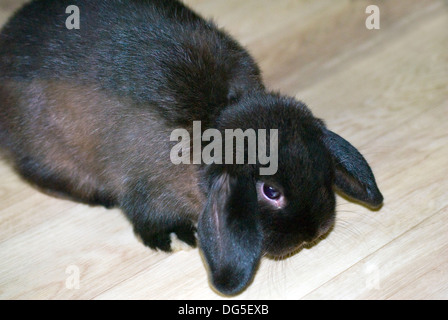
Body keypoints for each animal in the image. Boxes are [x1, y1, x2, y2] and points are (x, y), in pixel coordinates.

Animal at [0, 0, 382, 296]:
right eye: (270, 191)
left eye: (323, 169)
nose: (314, 232)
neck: (217, 119)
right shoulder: (142, 189)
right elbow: (145, 216)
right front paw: (175, 237)